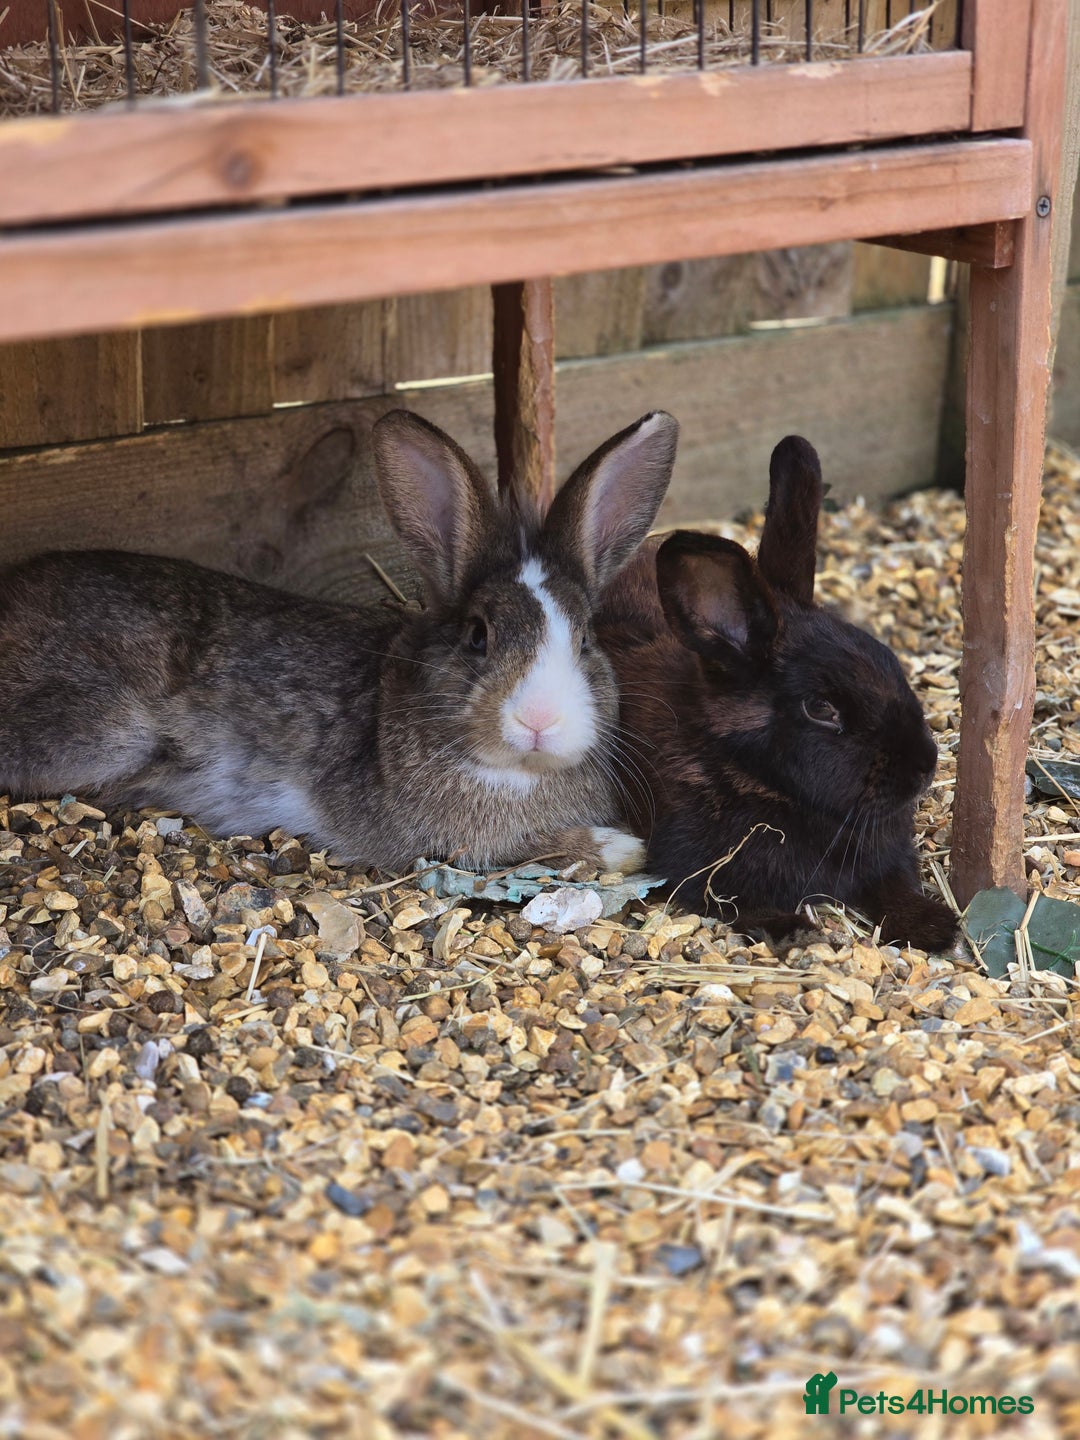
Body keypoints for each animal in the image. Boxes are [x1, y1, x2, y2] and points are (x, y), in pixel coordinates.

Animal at [0, 408, 679, 875]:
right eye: (478, 635)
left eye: (586, 638)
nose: (540, 719)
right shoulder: (450, 842)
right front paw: (622, 848)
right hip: (103, 734)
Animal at [597, 434, 958, 953]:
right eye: (821, 708)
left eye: (890, 660)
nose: (925, 766)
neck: (762, 781)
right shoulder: (697, 868)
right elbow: (735, 904)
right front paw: (794, 929)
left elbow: (896, 888)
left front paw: (935, 926)